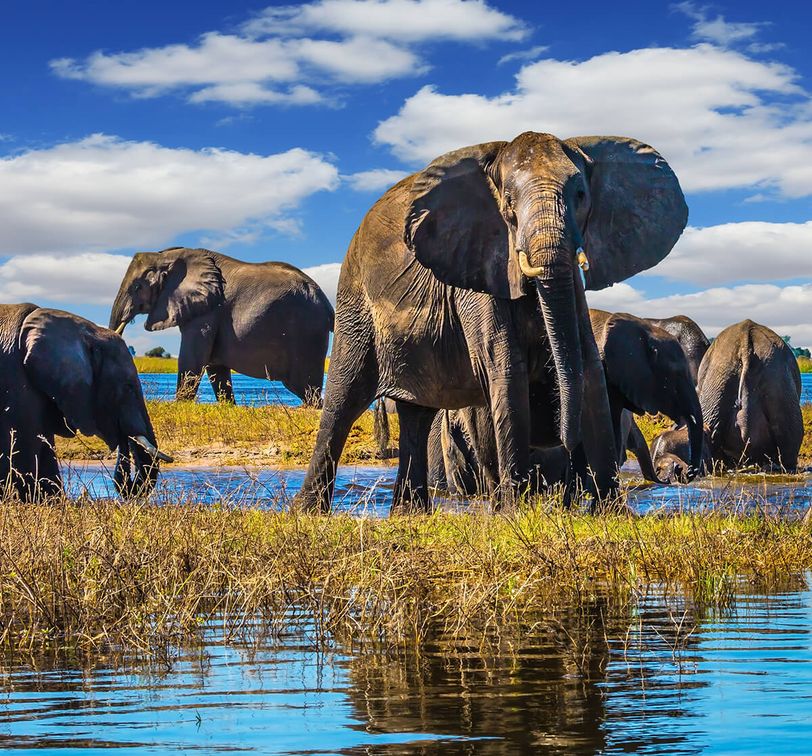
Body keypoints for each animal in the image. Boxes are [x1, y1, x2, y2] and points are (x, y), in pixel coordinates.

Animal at [110, 248, 334, 406]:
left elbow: (193, 358)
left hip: (306, 333)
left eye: (136, 287)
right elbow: (215, 367)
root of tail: (327, 304)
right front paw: (229, 406)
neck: (167, 256)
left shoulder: (207, 311)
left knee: (305, 388)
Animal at [297, 131, 687, 513]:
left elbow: (589, 369)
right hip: (354, 299)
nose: (563, 440)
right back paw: (308, 511)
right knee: (343, 400)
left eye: (579, 195)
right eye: (509, 204)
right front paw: (516, 513)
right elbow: (506, 369)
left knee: (417, 415)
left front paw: (612, 513)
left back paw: (410, 513)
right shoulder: (478, 268)